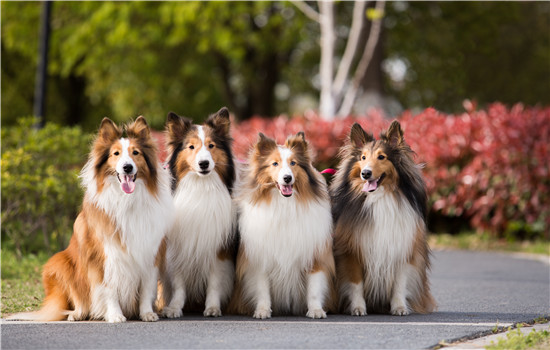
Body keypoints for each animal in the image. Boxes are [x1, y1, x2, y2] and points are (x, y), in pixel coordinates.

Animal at [6, 116, 174, 322]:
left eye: (136, 153)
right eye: (116, 154)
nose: (127, 167)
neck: (127, 200)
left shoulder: (150, 252)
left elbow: (147, 287)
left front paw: (147, 313)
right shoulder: (102, 255)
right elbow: (109, 287)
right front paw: (115, 315)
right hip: (61, 263)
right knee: (77, 299)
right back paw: (77, 314)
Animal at [160, 106, 237, 318]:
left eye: (211, 146)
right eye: (191, 147)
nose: (204, 164)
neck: (200, 187)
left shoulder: (217, 248)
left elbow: (214, 283)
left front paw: (212, 308)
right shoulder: (177, 248)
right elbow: (178, 284)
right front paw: (174, 308)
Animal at [229, 132, 336, 320]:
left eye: (293, 163)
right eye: (275, 163)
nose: (287, 178)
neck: (284, 204)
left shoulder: (314, 256)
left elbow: (314, 288)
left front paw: (316, 310)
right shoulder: (260, 257)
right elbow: (262, 288)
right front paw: (262, 311)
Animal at [330, 121, 438, 316]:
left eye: (382, 157)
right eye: (363, 157)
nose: (365, 173)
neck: (380, 198)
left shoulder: (403, 249)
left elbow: (400, 283)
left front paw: (399, 307)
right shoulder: (351, 251)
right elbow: (355, 283)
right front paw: (358, 308)